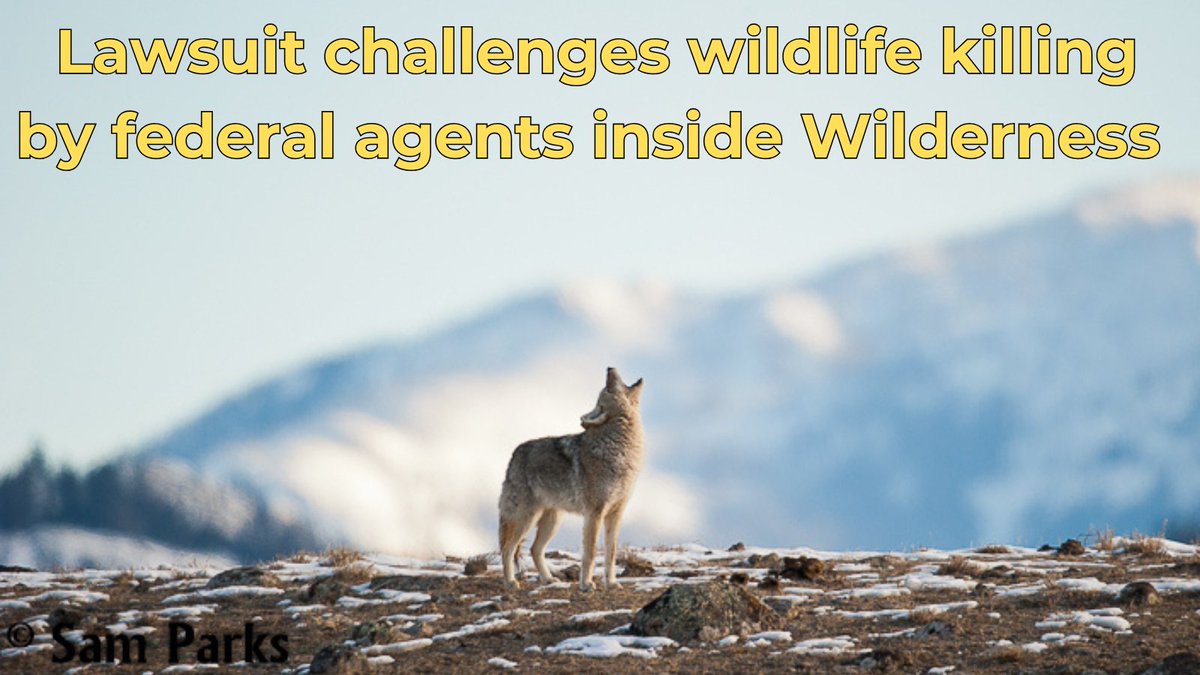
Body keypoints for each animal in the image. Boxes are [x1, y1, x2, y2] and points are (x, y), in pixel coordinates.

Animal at [498, 367, 645, 591]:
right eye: (607, 389)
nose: (609, 368)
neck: (619, 450)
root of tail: (515, 454)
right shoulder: (594, 514)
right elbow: (590, 553)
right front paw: (586, 584)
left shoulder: (616, 514)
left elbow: (611, 554)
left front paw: (611, 583)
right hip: (526, 519)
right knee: (508, 548)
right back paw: (510, 582)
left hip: (552, 521)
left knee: (534, 549)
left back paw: (548, 579)